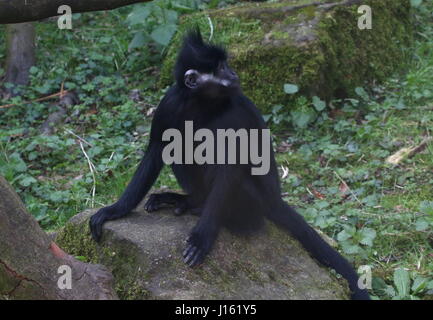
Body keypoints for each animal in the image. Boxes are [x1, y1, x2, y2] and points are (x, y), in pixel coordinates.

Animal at [89, 30, 370, 300]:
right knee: (179, 143)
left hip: (255, 201)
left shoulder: (234, 111)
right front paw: (115, 210)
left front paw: (203, 236)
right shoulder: (169, 104)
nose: (234, 73)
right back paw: (188, 200)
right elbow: (156, 148)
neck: (202, 103)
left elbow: (228, 166)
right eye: (221, 67)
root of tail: (274, 200)